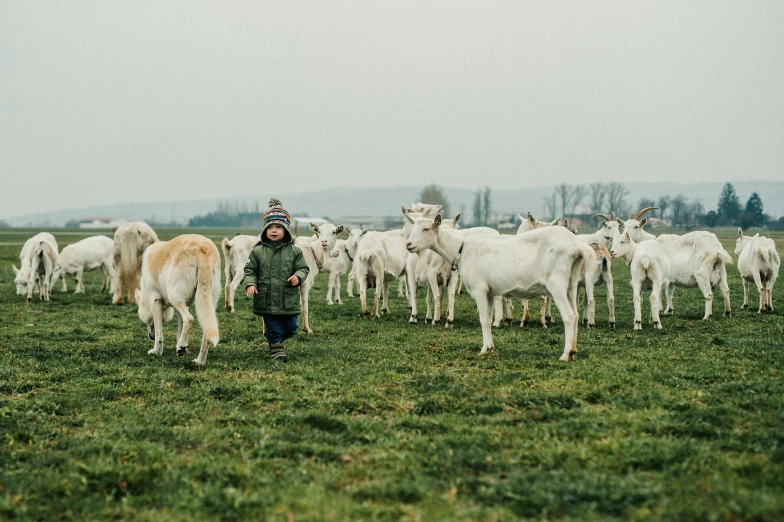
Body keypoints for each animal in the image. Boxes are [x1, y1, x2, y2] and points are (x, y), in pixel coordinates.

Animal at [135, 234, 220, 364]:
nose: (150, 337)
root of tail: (202, 249)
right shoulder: (183, 305)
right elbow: (179, 330)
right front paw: (179, 348)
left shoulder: (156, 301)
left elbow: (159, 334)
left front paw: (156, 352)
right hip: (207, 306)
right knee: (206, 333)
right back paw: (199, 361)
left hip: (174, 297)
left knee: (189, 318)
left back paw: (183, 346)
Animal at [408, 213, 592, 360]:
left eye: (426, 229)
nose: (408, 244)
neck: (462, 248)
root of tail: (576, 245)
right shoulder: (489, 292)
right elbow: (489, 320)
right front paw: (490, 347)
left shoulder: (480, 289)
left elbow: (483, 320)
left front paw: (483, 349)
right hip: (570, 284)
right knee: (575, 314)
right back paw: (573, 351)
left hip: (557, 284)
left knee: (569, 316)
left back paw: (566, 355)